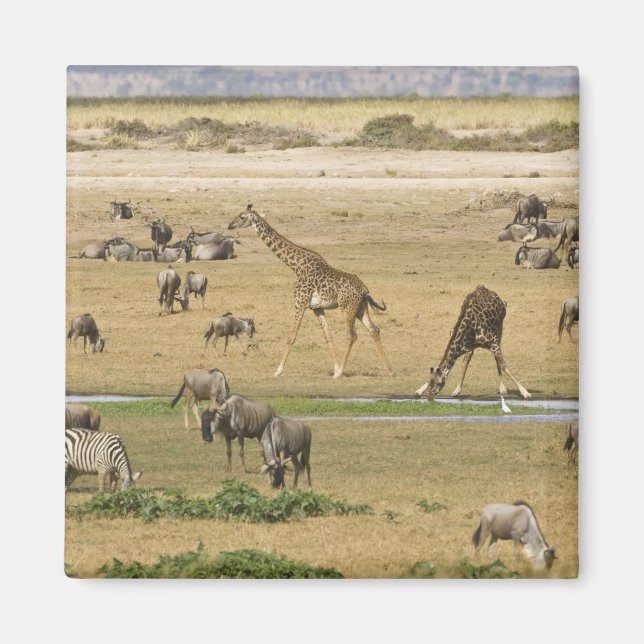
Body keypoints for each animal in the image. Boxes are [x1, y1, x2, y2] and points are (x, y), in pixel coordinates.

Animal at [228, 205, 392, 378]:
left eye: (242, 217)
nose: (230, 225)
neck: (297, 266)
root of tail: (364, 290)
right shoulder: (316, 308)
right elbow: (328, 336)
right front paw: (335, 368)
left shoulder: (300, 302)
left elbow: (291, 336)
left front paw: (278, 371)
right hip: (360, 308)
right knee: (374, 330)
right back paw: (388, 369)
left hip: (347, 308)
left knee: (352, 335)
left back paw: (341, 373)